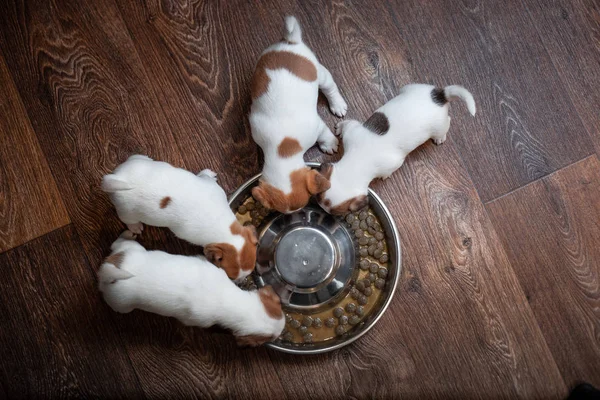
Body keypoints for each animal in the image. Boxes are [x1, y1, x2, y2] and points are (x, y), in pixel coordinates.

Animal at [98, 231, 286, 346]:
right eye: (268, 339)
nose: (280, 333)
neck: (231, 300)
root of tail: (108, 271)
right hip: (121, 304)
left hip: (131, 250)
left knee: (118, 243)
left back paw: (126, 234)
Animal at [103, 154, 258, 282]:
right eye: (230, 277)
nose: (241, 281)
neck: (222, 229)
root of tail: (118, 178)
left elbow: (206, 178)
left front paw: (207, 174)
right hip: (125, 211)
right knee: (128, 219)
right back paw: (135, 226)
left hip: (136, 164)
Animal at [251, 16, 350, 214]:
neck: (281, 149)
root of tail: (290, 41)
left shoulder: (317, 126)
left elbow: (325, 134)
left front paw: (329, 144)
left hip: (321, 74)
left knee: (330, 88)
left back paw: (337, 104)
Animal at [316, 83, 476, 216]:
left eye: (336, 214)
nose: (322, 212)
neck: (357, 161)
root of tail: (440, 95)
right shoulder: (353, 131)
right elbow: (348, 124)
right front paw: (340, 127)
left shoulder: (394, 163)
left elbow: (388, 171)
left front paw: (384, 176)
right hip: (412, 87)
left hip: (440, 125)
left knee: (447, 122)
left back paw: (440, 138)